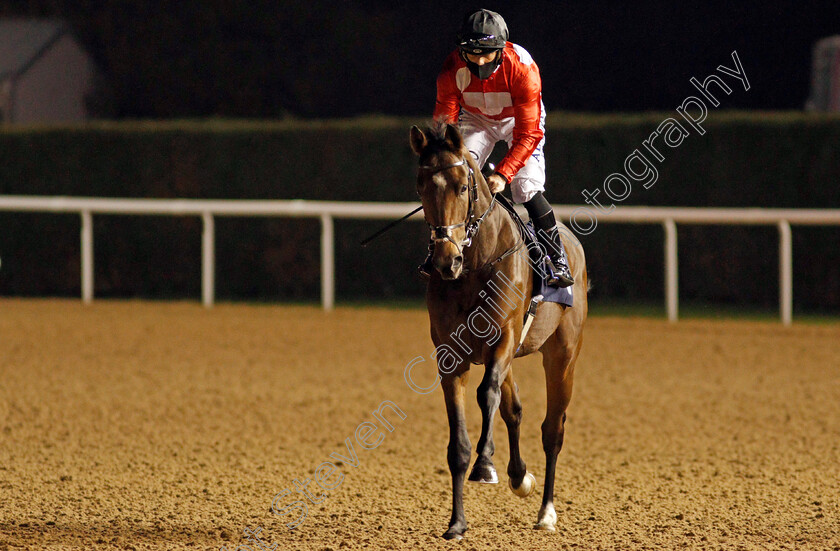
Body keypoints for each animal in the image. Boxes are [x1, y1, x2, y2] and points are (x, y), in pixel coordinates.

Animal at [410, 123, 588, 540]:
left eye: (463, 186)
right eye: (421, 186)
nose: (445, 260)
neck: (475, 264)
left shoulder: (504, 336)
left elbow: (486, 394)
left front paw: (484, 465)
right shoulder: (450, 355)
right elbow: (459, 442)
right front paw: (457, 522)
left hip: (562, 355)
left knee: (552, 428)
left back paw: (546, 511)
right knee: (514, 409)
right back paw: (519, 476)